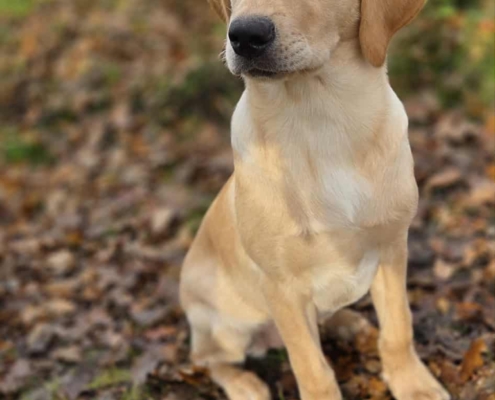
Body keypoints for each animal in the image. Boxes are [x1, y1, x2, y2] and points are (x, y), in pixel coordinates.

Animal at [180, 0, 451, 399]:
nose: (244, 35)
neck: (321, 120)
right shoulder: (281, 286)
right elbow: (312, 368)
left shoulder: (391, 247)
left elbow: (398, 327)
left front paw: (412, 383)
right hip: (224, 324)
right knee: (208, 360)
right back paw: (245, 385)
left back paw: (347, 323)